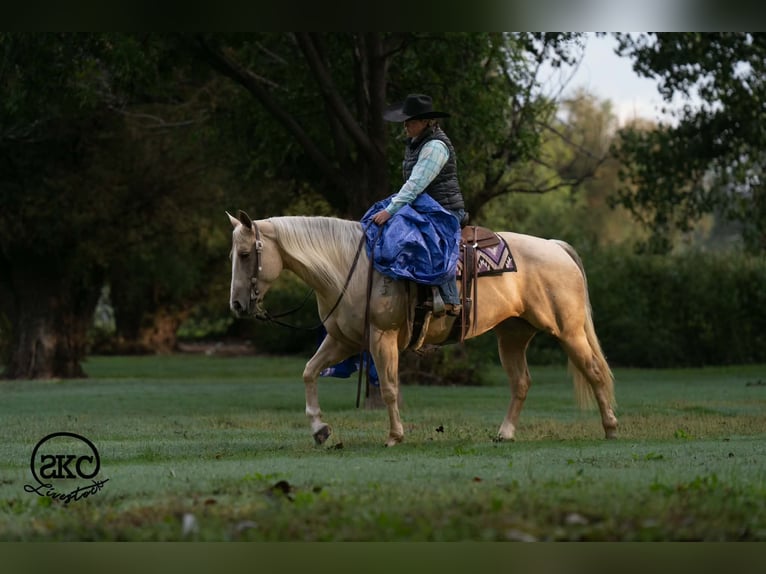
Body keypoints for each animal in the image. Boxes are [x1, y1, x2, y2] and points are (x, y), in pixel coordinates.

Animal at [227, 210, 617, 447]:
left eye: (245, 254)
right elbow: (309, 372)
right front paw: (320, 429)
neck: (349, 268)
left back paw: (611, 428)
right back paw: (504, 434)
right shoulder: (343, 341)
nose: (237, 305)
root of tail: (555, 247)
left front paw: (395, 436)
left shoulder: (381, 338)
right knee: (521, 383)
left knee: (595, 372)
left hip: (568, 331)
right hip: (512, 336)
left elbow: (388, 388)